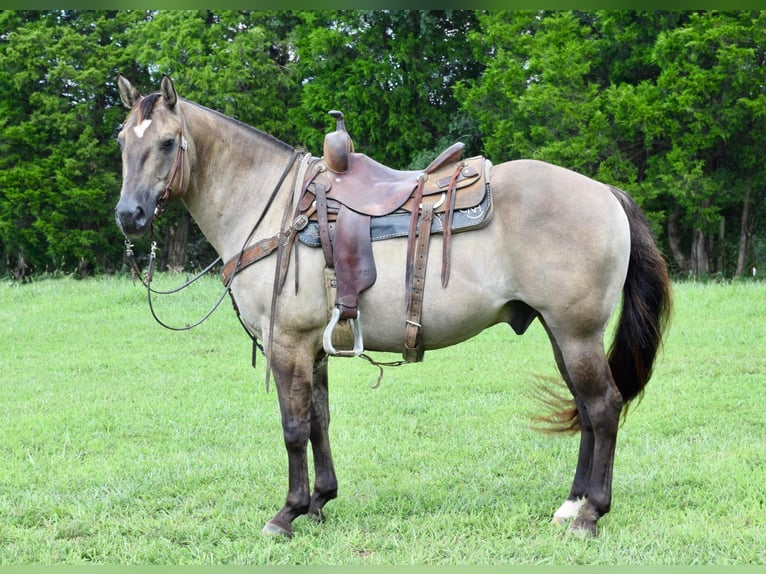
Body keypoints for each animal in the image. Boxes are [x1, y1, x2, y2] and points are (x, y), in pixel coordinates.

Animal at [112, 75, 672, 540]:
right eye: (122, 142)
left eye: (167, 143)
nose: (129, 215)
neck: (271, 208)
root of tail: (605, 192)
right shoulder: (313, 346)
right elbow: (319, 421)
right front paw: (320, 502)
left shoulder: (286, 343)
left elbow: (293, 428)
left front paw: (287, 513)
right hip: (562, 334)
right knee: (586, 409)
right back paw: (570, 504)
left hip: (576, 333)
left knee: (603, 407)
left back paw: (590, 514)